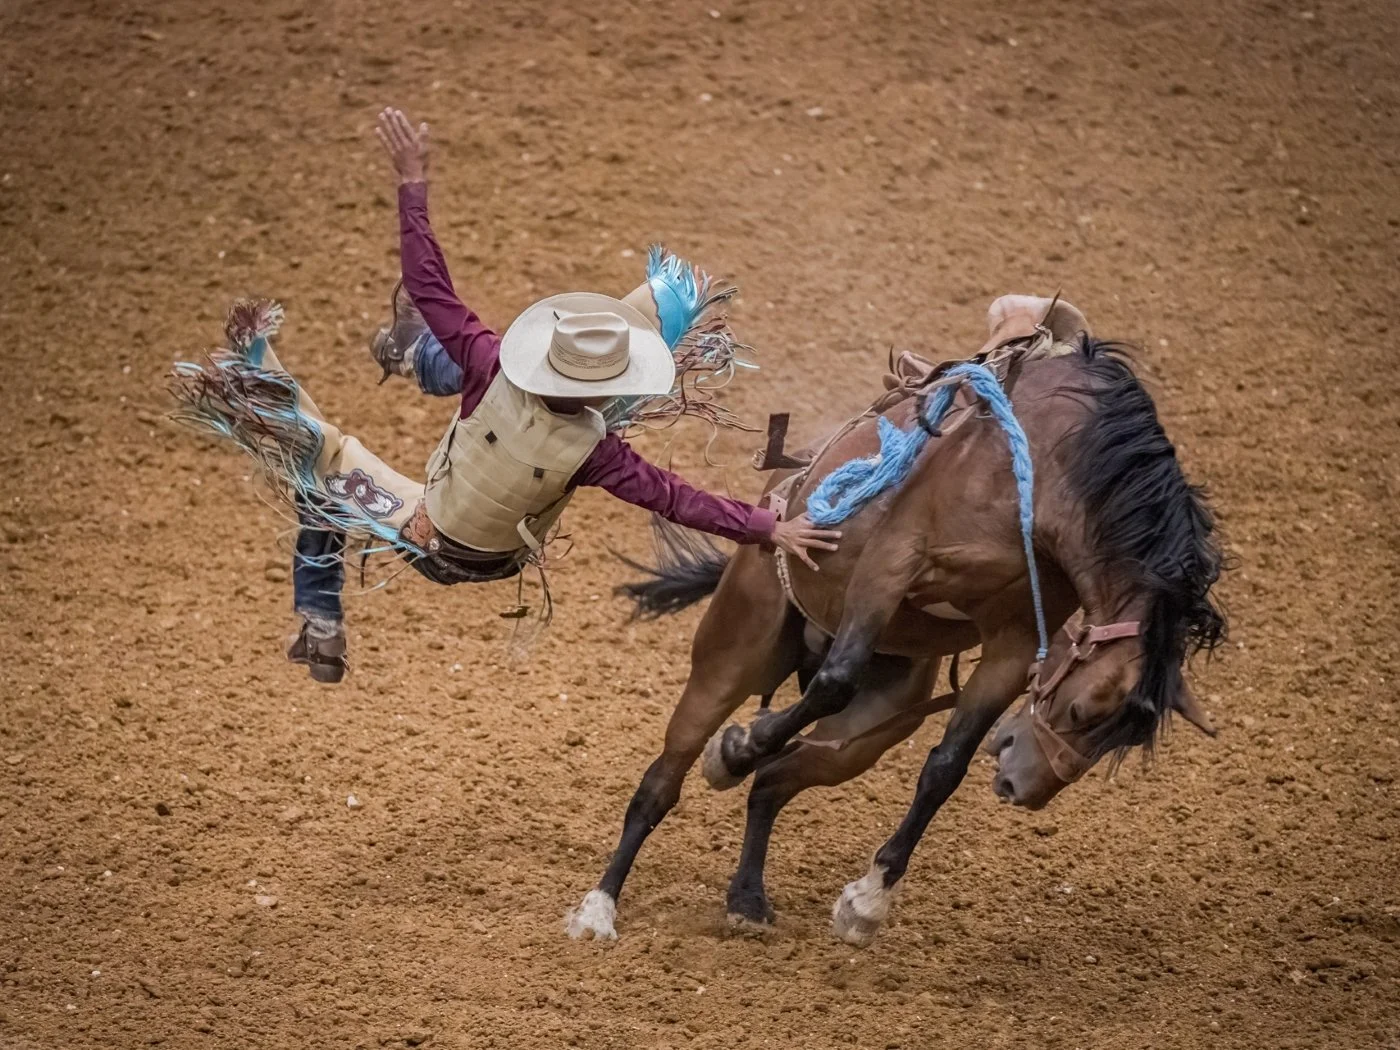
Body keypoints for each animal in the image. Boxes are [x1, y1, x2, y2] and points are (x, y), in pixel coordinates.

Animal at [565, 299, 1226, 952]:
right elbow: (835, 680)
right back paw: (602, 903)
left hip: (869, 731)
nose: (1024, 788)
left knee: (776, 780)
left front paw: (867, 901)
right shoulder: (892, 562)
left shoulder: (1013, 644)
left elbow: (945, 767)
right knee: (663, 782)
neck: (1044, 468)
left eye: (1122, 741)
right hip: (734, 651)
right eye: (1087, 711)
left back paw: (747, 899)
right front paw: (740, 745)